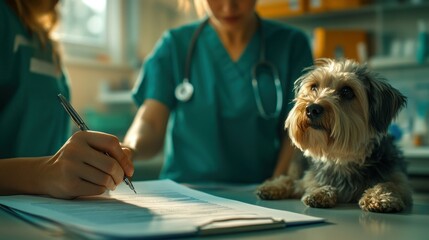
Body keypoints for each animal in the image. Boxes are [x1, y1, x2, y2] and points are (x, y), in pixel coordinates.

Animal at [256, 59, 412, 213]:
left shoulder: (400, 180)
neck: (342, 160)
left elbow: (389, 183)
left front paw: (380, 197)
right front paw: (321, 191)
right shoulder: (309, 178)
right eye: (314, 87)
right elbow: (302, 183)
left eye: (347, 91)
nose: (312, 109)